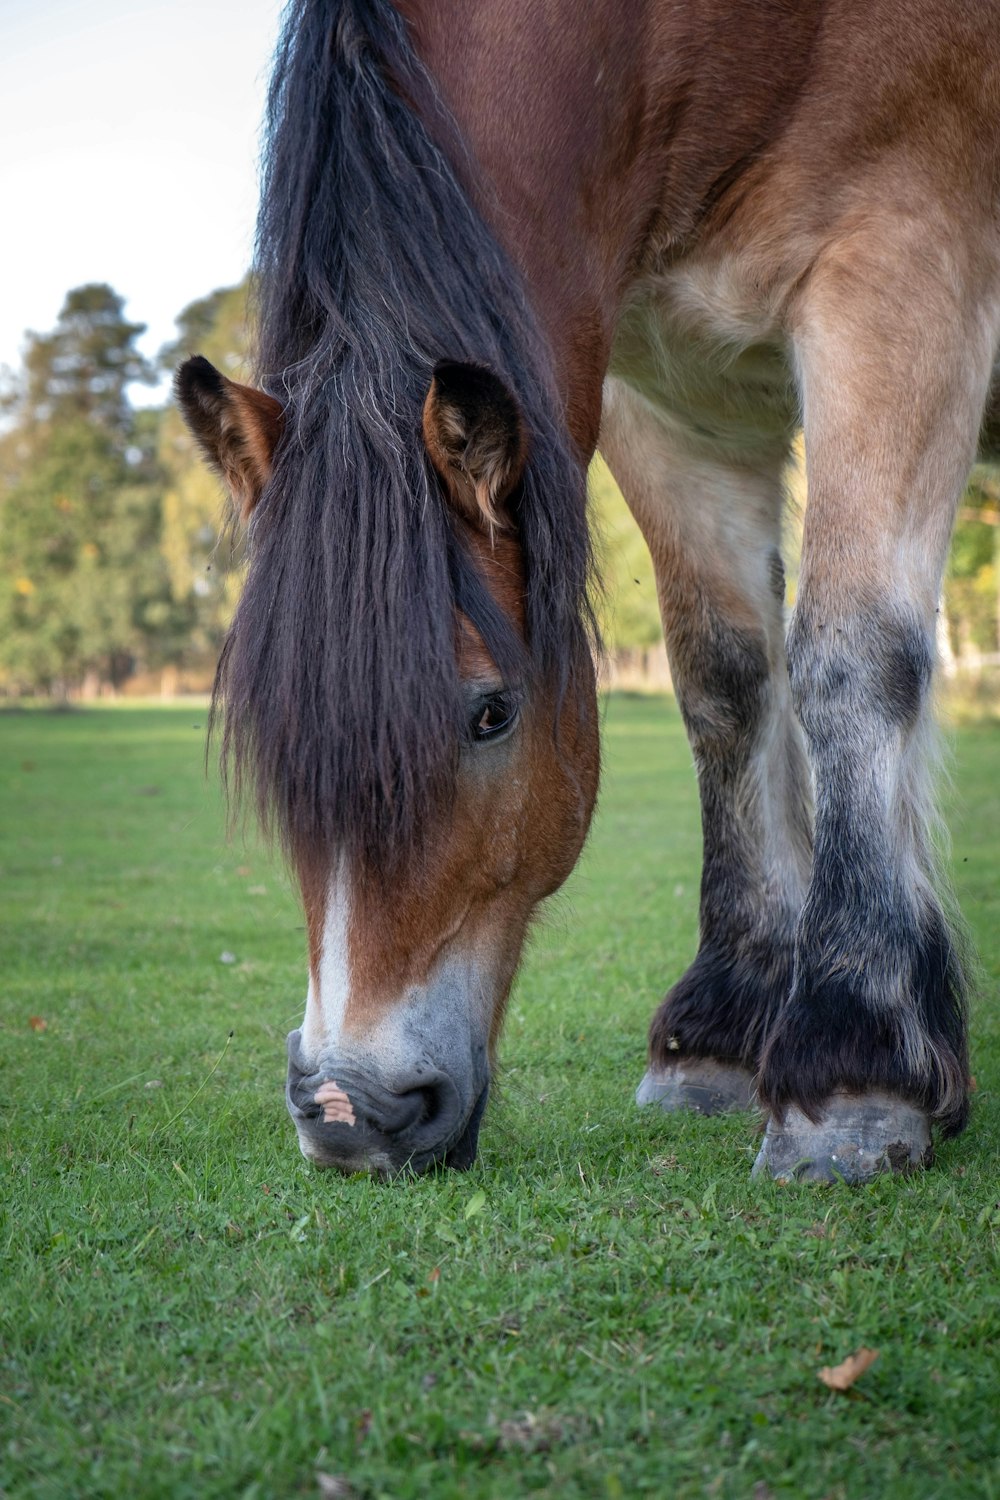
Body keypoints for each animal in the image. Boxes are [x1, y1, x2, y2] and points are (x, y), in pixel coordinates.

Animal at [173, 0, 1000, 1182]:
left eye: (490, 714)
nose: (347, 1111)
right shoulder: (673, 401)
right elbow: (724, 680)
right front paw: (719, 1036)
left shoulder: (900, 283)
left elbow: (847, 657)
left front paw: (855, 1066)